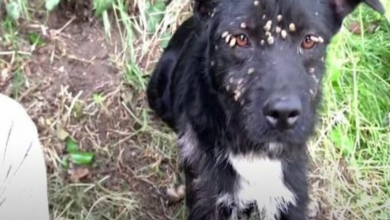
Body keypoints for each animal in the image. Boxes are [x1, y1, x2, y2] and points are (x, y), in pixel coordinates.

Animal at [146, 0, 384, 219]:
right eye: (241, 39)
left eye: (309, 40)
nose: (283, 114)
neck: (255, 150)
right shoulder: (208, 199)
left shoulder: (290, 194)